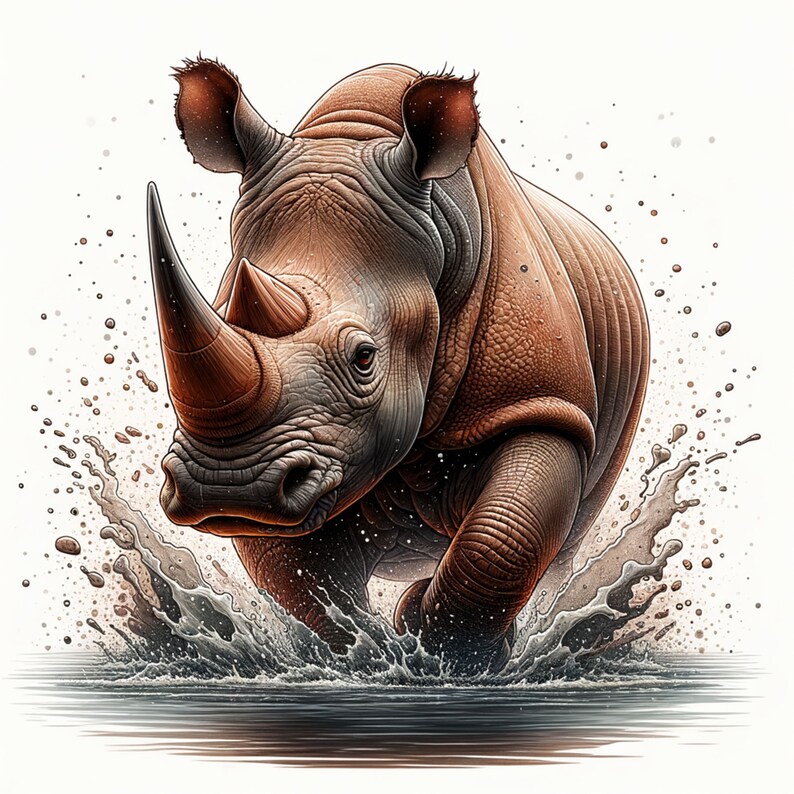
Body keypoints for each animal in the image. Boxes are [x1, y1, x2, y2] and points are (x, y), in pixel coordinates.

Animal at [148, 59, 648, 673]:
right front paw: (371, 652)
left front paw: (449, 650)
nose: (228, 488)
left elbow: (504, 536)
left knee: (562, 546)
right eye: (219, 313)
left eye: (365, 358)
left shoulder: (542, 403)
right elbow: (300, 579)